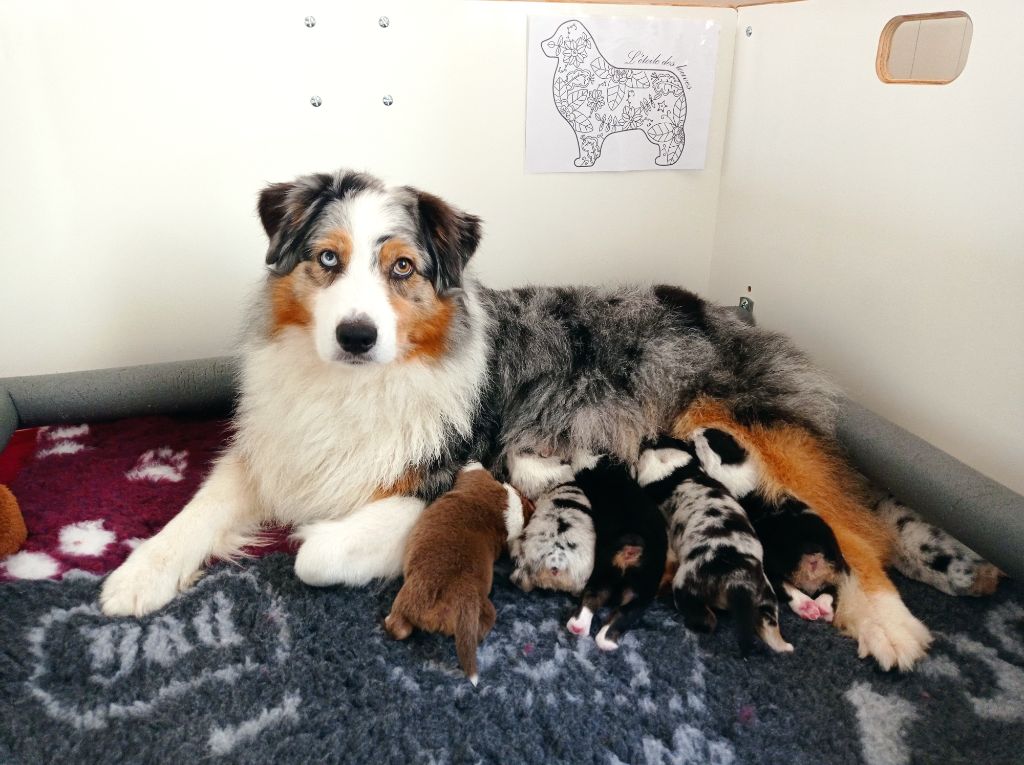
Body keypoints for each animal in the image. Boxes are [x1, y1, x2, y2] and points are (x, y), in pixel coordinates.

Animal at [565, 454, 667, 651]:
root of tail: (631, 546)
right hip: (643, 586)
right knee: (625, 611)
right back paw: (607, 642)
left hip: (605, 568)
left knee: (594, 595)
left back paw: (581, 628)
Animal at [630, 434, 790, 655]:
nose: (647, 437)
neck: (678, 470)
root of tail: (737, 582)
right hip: (766, 599)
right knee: (771, 630)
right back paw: (784, 645)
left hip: (685, 585)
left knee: (708, 620)